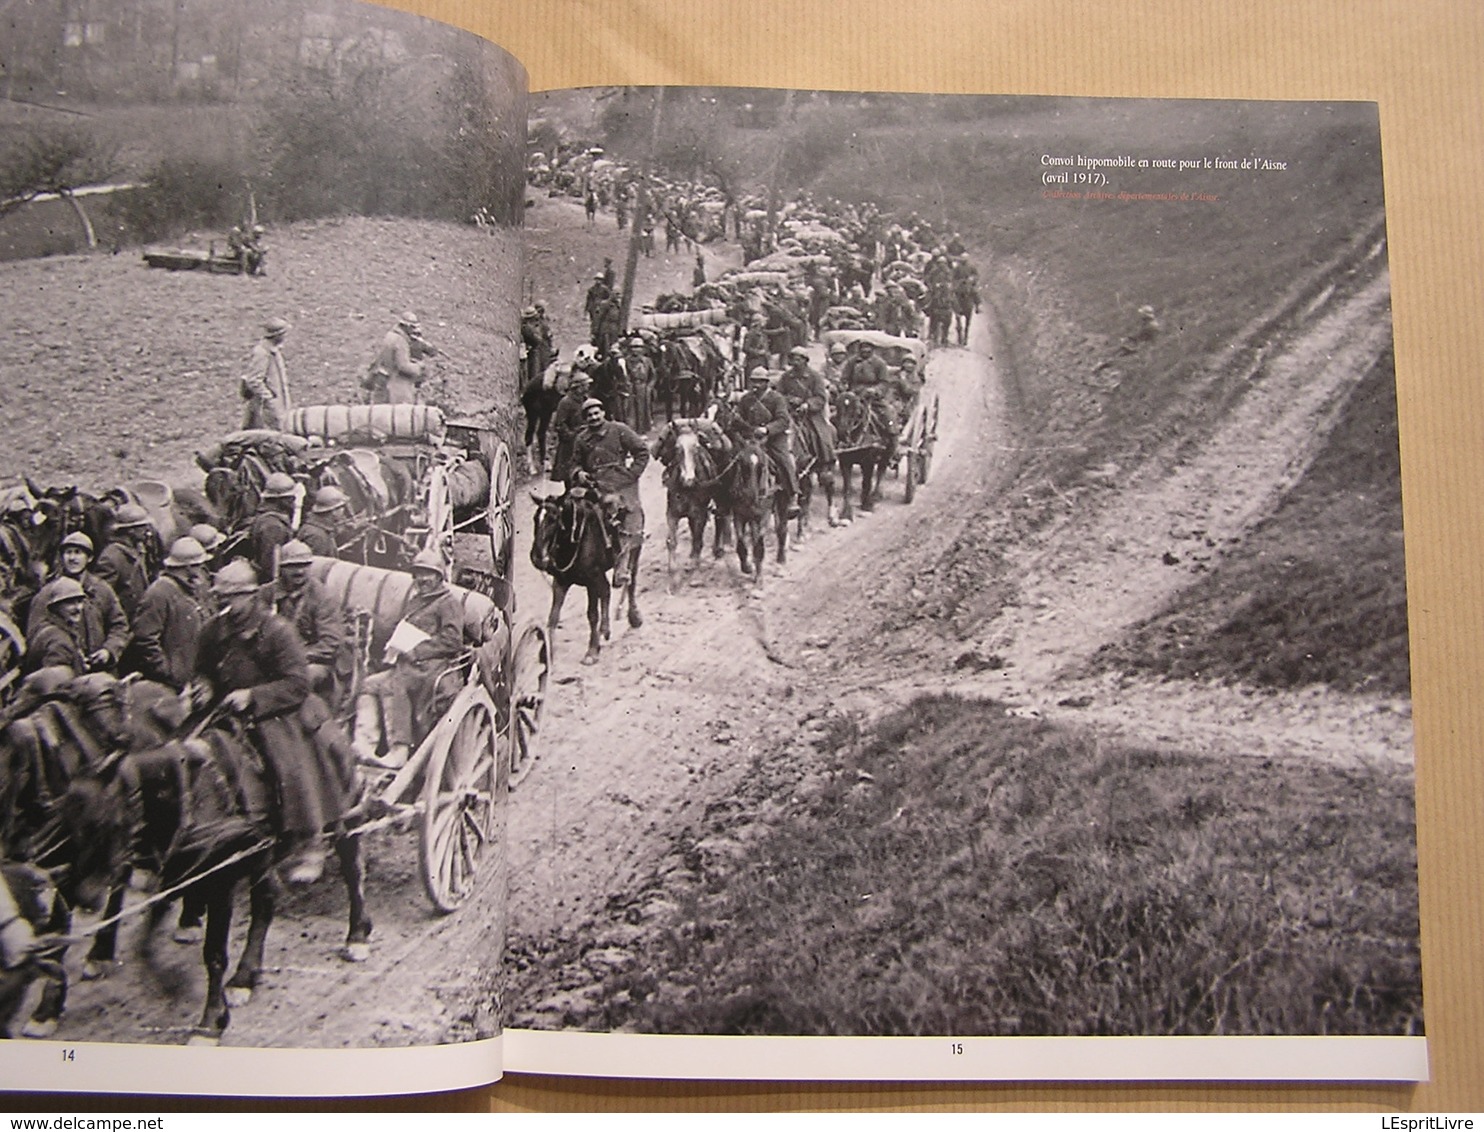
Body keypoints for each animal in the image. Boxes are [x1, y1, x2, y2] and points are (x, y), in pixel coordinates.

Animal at [836, 391, 890, 525]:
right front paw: (846, 514)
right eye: (837, 407)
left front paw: (867, 505)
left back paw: (876, 495)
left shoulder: (868, 463)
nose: (842, 433)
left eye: (856, 410)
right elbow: (848, 488)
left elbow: (867, 483)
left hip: (886, 455)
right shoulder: (844, 463)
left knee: (881, 472)